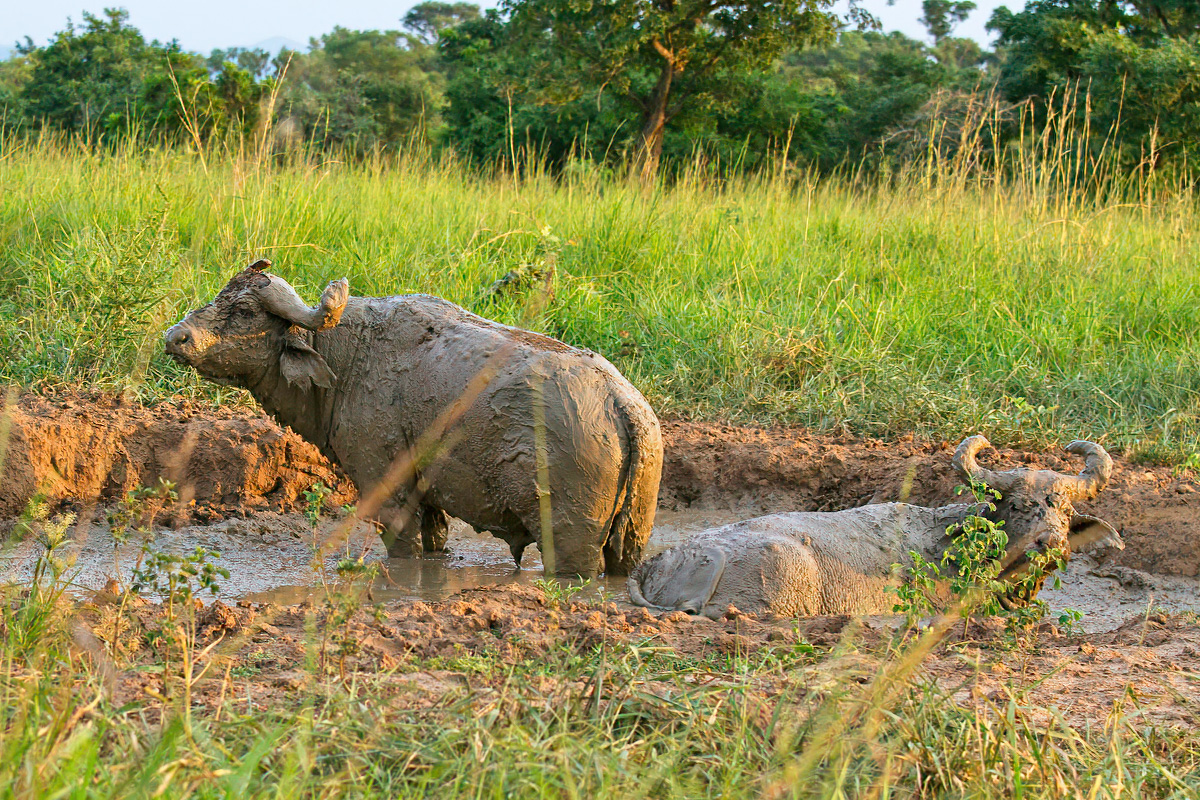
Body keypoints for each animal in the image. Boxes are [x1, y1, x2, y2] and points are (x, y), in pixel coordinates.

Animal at [164, 260, 662, 578]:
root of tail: (621, 402)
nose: (176, 336)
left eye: (244, 311)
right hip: (632, 538)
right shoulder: (431, 499)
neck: (349, 359)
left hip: (569, 543)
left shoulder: (390, 493)